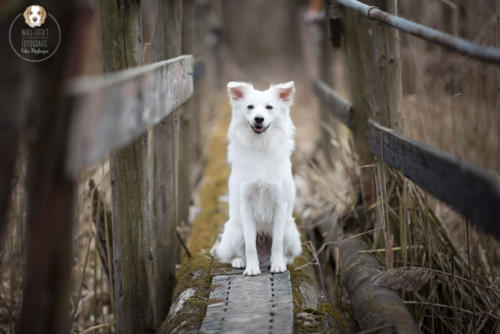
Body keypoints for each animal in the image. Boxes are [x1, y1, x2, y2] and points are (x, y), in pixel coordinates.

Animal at [214, 81, 300, 276]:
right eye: (250, 107)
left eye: (269, 107)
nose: (259, 119)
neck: (260, 146)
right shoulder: (246, 204)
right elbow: (250, 245)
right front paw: (252, 269)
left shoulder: (280, 204)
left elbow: (277, 244)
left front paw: (278, 266)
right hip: (235, 231)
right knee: (237, 253)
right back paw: (241, 262)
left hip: (289, 230)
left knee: (287, 253)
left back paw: (280, 261)